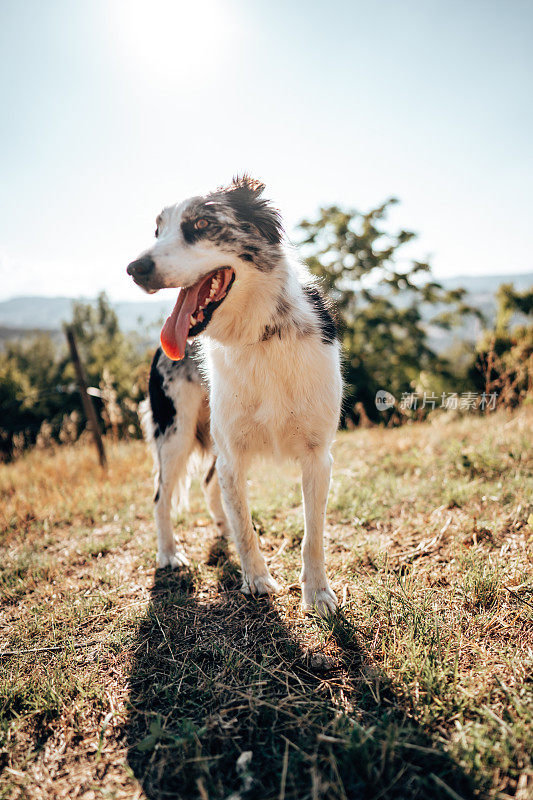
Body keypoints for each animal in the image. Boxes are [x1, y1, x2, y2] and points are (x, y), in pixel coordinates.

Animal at [129, 177, 344, 612]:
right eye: (157, 231)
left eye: (201, 224)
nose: (134, 269)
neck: (261, 334)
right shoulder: (232, 452)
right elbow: (246, 528)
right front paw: (257, 580)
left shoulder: (318, 456)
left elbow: (313, 534)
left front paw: (317, 594)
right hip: (174, 434)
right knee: (161, 496)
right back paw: (169, 553)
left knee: (209, 484)